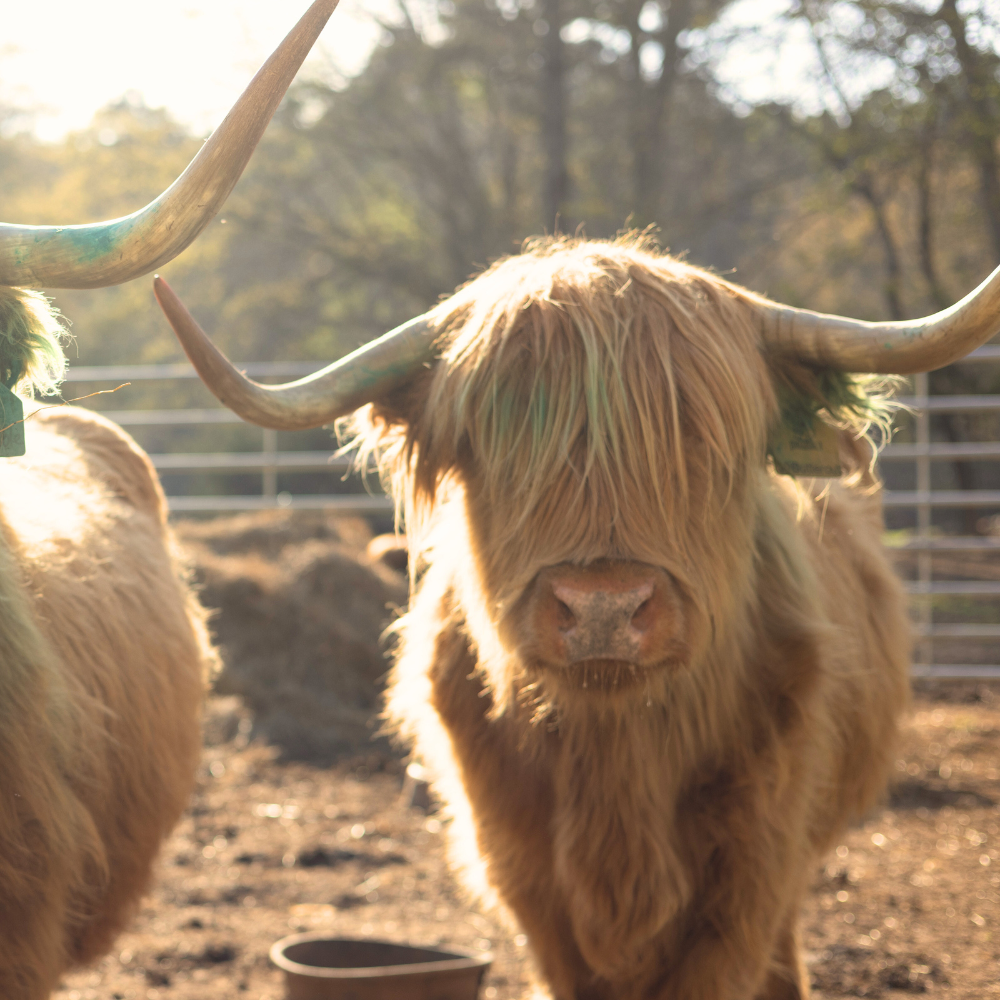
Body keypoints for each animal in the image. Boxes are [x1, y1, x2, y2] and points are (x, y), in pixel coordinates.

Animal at [155, 211, 1000, 999]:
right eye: (498, 447)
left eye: (704, 443)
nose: (603, 608)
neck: (616, 762)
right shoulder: (525, 874)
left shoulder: (751, 870)